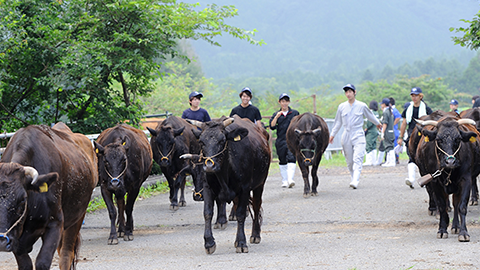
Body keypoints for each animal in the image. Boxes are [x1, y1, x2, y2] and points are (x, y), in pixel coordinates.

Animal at [0, 123, 97, 268]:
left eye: (23, 200)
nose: (1, 241)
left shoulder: (56, 223)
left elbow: (42, 262)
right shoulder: (16, 239)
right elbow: (25, 264)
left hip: (78, 217)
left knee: (66, 254)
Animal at [182, 115, 270, 253]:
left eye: (222, 140)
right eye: (201, 141)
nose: (209, 166)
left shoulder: (245, 188)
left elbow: (241, 214)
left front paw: (241, 242)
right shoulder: (207, 188)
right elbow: (207, 213)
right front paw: (209, 242)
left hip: (259, 184)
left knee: (256, 206)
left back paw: (255, 235)